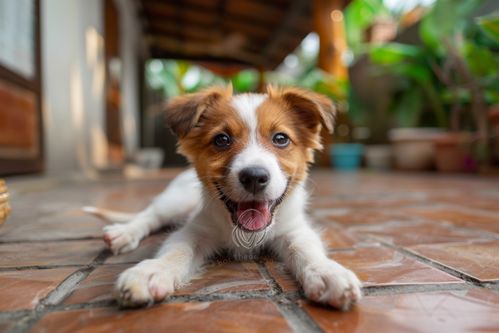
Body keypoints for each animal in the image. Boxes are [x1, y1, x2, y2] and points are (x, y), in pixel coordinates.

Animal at [84, 85, 362, 308]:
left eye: (281, 138)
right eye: (222, 139)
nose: (254, 177)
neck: (245, 235)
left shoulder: (294, 229)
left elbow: (305, 249)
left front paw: (326, 272)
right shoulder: (194, 230)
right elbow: (176, 250)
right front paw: (152, 271)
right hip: (176, 201)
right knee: (151, 215)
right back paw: (123, 233)